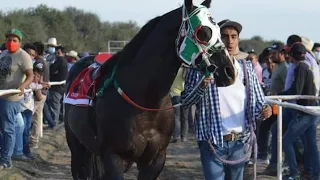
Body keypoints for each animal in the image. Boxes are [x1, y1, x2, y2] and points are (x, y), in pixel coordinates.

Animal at [65, 0, 236, 179]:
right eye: (202, 32)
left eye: (220, 32)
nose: (229, 72)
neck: (145, 102)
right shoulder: (113, 157)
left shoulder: (155, 159)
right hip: (77, 149)